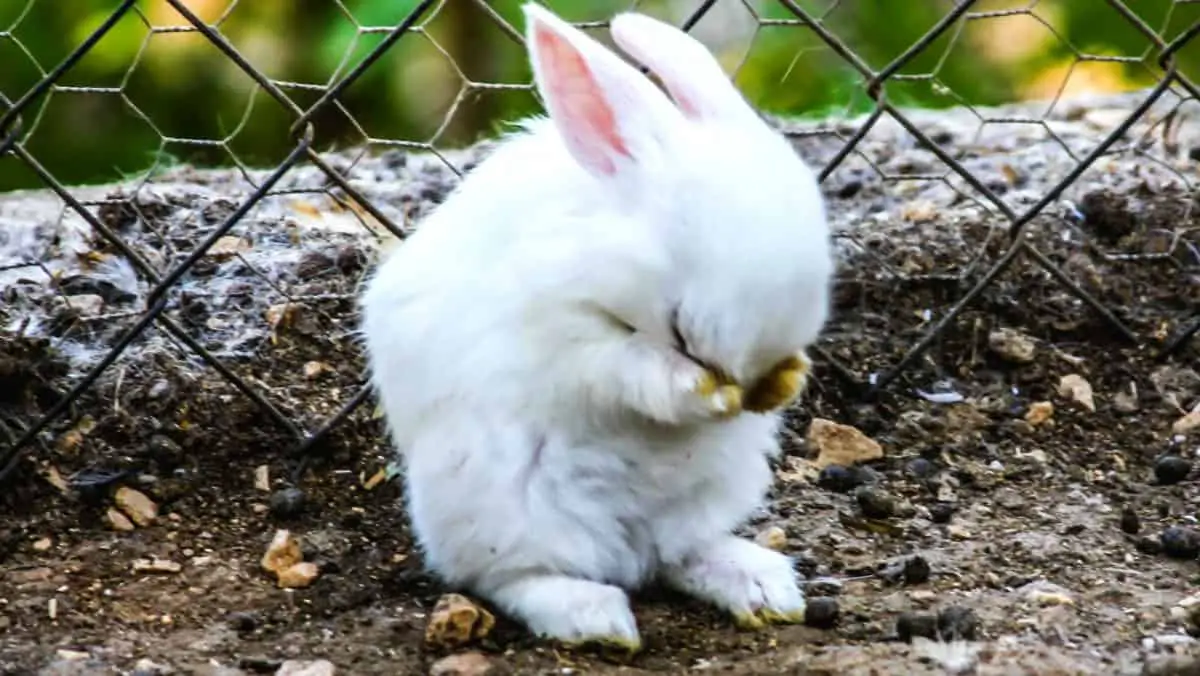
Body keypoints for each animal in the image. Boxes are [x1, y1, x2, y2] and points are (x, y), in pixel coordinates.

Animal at [358, 2, 834, 651]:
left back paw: (759, 586)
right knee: (504, 577)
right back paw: (594, 617)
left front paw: (787, 380)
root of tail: (627, 550)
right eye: (681, 328)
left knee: (677, 555)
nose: (754, 396)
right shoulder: (569, 339)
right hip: (506, 506)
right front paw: (699, 392)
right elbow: (626, 368)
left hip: (713, 490)